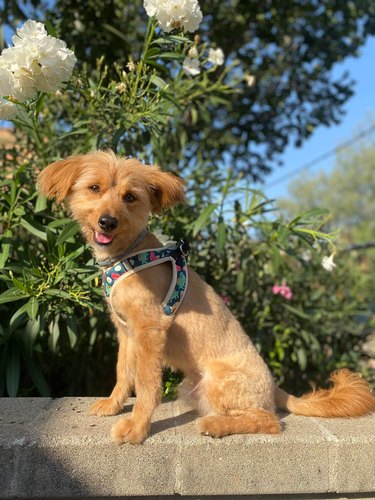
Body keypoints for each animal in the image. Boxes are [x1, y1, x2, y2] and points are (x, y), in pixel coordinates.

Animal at [37, 150, 375, 444]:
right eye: (94, 188)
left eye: (130, 197)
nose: (107, 221)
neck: (129, 256)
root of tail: (275, 387)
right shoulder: (126, 332)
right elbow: (124, 373)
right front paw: (112, 404)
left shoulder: (150, 330)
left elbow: (147, 386)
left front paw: (137, 427)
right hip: (193, 386)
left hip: (217, 381)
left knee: (270, 421)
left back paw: (216, 424)